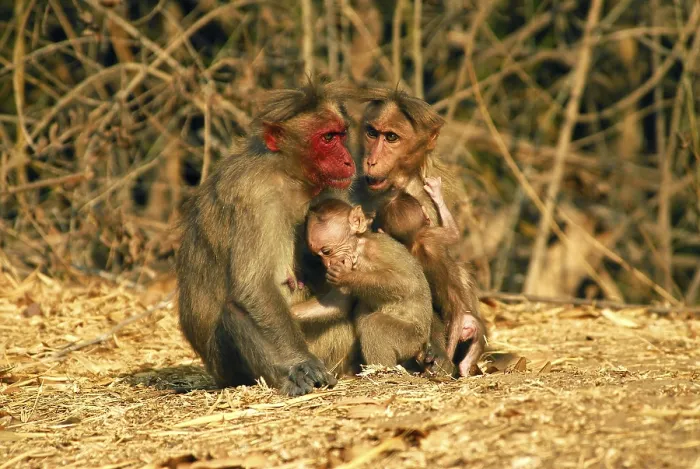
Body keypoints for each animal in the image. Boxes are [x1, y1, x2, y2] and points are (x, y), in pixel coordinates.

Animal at [176, 81, 358, 396]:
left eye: (341, 134)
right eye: (327, 138)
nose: (348, 160)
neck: (289, 175)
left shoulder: (330, 192)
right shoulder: (256, 196)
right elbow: (254, 287)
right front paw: (302, 362)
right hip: (229, 369)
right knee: (235, 311)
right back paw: (291, 378)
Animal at [299, 198, 433, 368]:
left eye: (327, 251)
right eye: (318, 256)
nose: (327, 264)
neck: (358, 250)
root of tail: (423, 344)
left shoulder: (374, 250)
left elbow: (406, 283)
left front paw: (346, 276)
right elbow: (338, 305)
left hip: (411, 339)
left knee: (374, 325)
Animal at [375, 177, 487, 377]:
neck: (414, 241)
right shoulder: (433, 235)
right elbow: (454, 234)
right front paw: (436, 193)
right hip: (467, 322)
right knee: (478, 335)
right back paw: (464, 366)